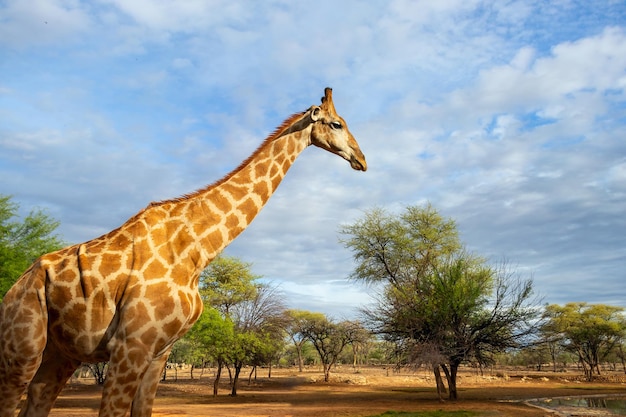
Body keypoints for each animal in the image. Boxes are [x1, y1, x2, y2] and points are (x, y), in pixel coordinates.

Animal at [0, 88, 366, 416]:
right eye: (336, 124)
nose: (362, 159)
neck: (196, 252)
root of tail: (15, 286)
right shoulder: (129, 346)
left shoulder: (160, 352)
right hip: (22, 347)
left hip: (62, 353)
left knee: (39, 396)